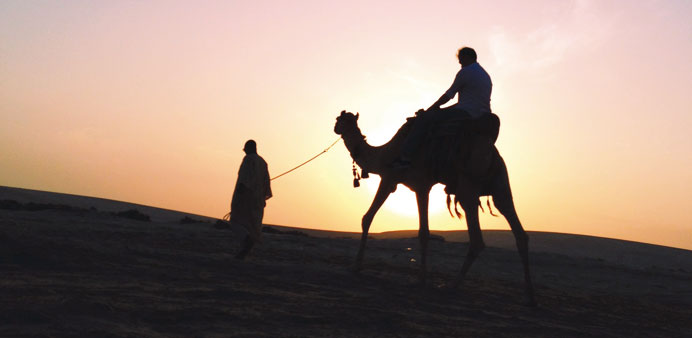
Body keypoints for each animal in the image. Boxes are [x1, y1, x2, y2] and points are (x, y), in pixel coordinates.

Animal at [334, 109, 536, 304]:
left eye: (339, 119)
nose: (335, 128)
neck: (385, 154)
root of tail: (491, 154)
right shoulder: (417, 185)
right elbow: (423, 232)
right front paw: (422, 278)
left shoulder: (399, 180)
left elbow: (370, 218)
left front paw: (357, 266)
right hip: (500, 183)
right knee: (516, 226)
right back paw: (529, 295)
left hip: (468, 185)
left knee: (477, 238)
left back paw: (452, 285)